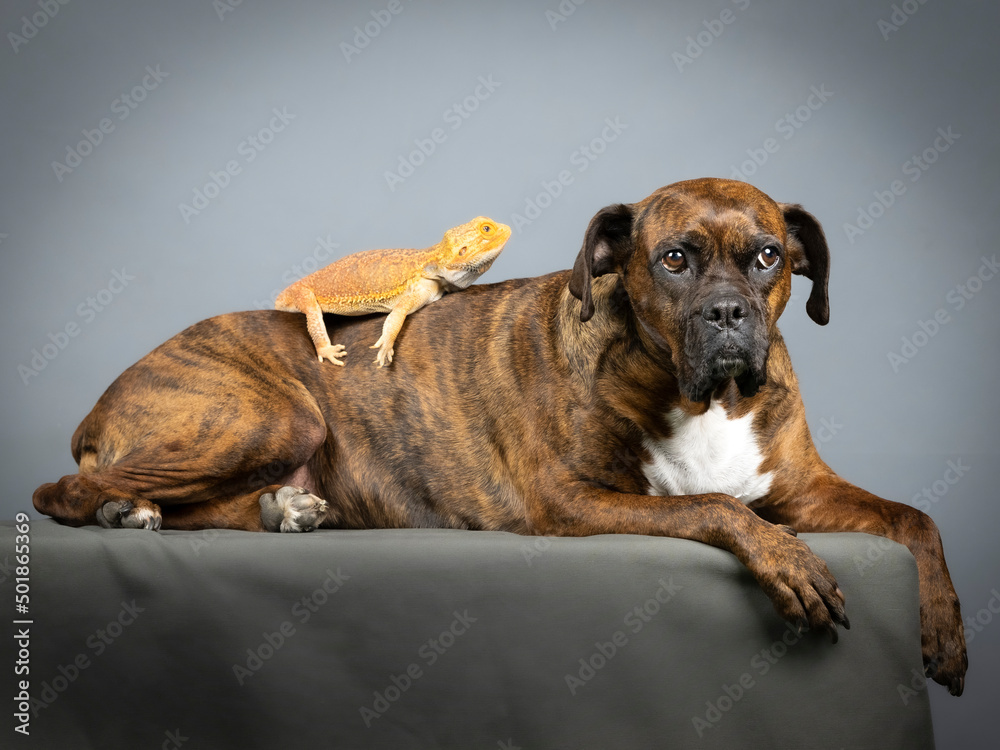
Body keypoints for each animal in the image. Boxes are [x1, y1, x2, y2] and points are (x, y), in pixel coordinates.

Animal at [35, 179, 964, 696]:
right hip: (276, 413)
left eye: (769, 256)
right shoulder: (575, 500)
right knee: (66, 491)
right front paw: (791, 564)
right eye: (673, 260)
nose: (730, 314)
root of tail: (102, 399)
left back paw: (278, 511)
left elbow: (916, 518)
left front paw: (944, 634)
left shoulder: (804, 489)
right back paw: (130, 513)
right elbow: (713, 508)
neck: (705, 399)